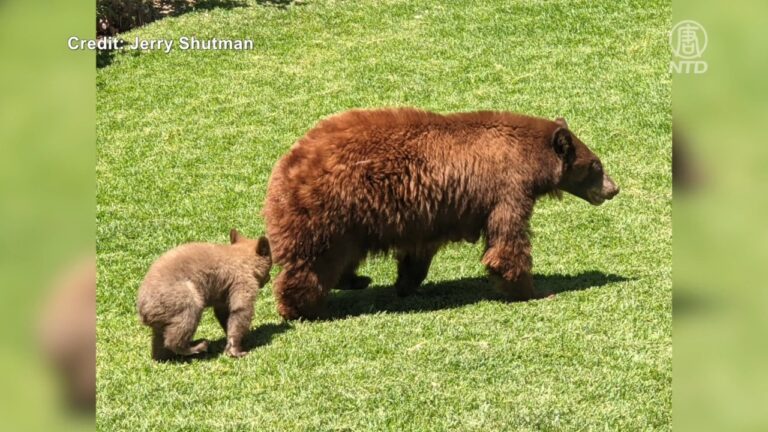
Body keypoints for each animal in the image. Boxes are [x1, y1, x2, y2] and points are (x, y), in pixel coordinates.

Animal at [136, 229, 271, 360]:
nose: (269, 278)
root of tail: (143, 312)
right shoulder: (242, 280)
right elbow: (241, 309)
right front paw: (237, 350)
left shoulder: (223, 293)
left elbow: (224, 313)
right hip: (178, 296)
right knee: (186, 318)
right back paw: (197, 346)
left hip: (162, 316)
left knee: (159, 338)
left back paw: (163, 357)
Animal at [264, 108, 619, 320]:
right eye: (596, 165)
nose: (613, 189)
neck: (529, 158)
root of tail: (284, 167)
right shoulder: (507, 189)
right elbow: (507, 243)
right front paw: (535, 291)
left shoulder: (429, 214)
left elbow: (419, 253)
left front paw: (406, 284)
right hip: (328, 211)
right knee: (314, 262)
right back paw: (300, 307)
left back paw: (356, 280)